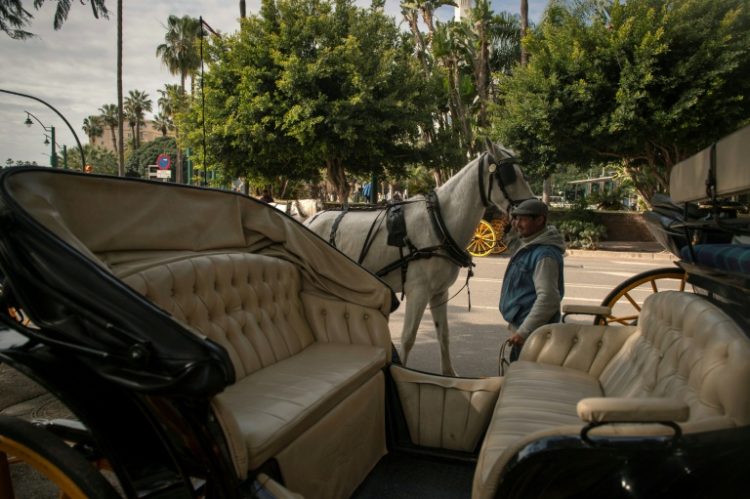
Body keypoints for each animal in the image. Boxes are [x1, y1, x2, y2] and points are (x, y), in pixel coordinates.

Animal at [306, 147, 536, 376]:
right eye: (510, 175)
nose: (533, 207)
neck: (438, 225)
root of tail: (310, 220)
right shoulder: (418, 291)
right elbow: (408, 338)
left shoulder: (439, 292)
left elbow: (444, 334)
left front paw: (448, 373)